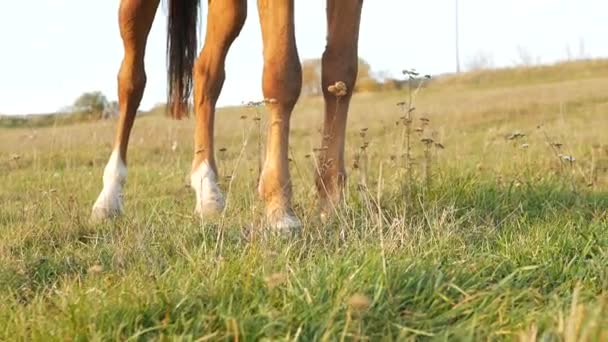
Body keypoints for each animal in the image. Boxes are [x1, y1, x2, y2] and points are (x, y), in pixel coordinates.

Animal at [92, 0, 364, 231]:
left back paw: (208, 191)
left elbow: (340, 70)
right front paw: (280, 209)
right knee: (131, 79)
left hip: (230, 9)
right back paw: (109, 197)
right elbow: (282, 71)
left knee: (205, 73)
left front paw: (331, 204)